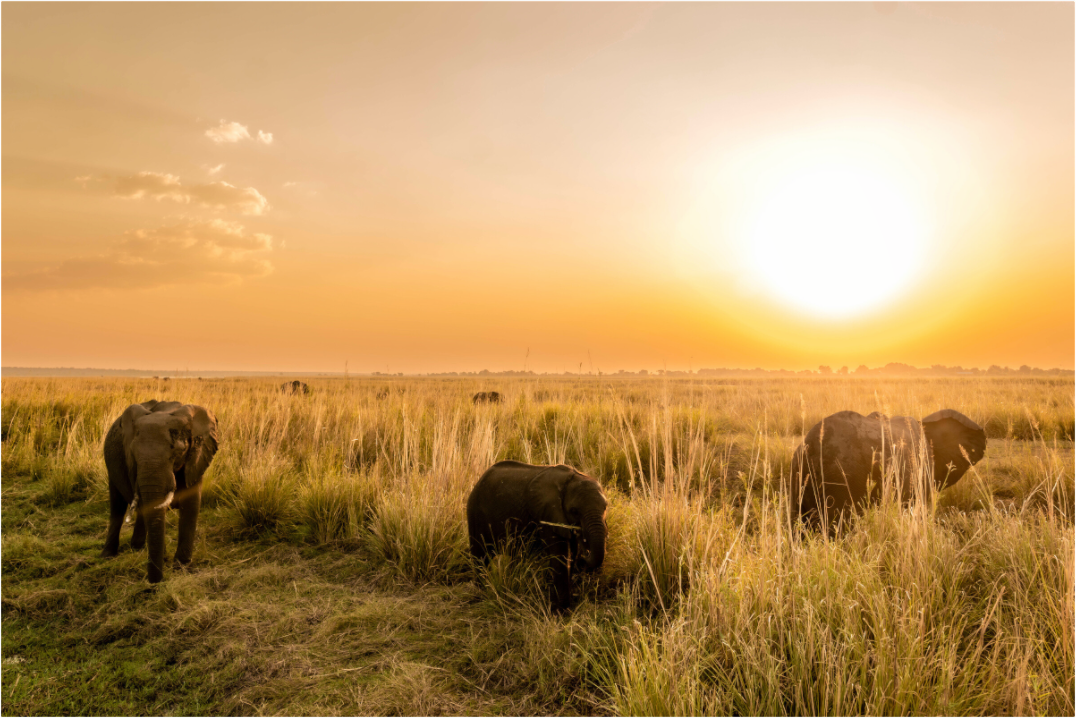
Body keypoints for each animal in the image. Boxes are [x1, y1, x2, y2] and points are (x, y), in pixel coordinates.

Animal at [101, 400, 219, 582]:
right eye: (133, 454)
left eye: (178, 452)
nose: (154, 582)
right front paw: (163, 560)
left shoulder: (195, 460)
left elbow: (191, 506)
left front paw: (182, 567)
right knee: (117, 507)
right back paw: (108, 555)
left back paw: (137, 547)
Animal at [467, 461, 608, 611]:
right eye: (574, 511)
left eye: (605, 507)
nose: (584, 556)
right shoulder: (547, 515)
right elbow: (560, 558)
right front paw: (561, 612)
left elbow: (571, 555)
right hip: (475, 513)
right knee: (480, 557)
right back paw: (480, 595)